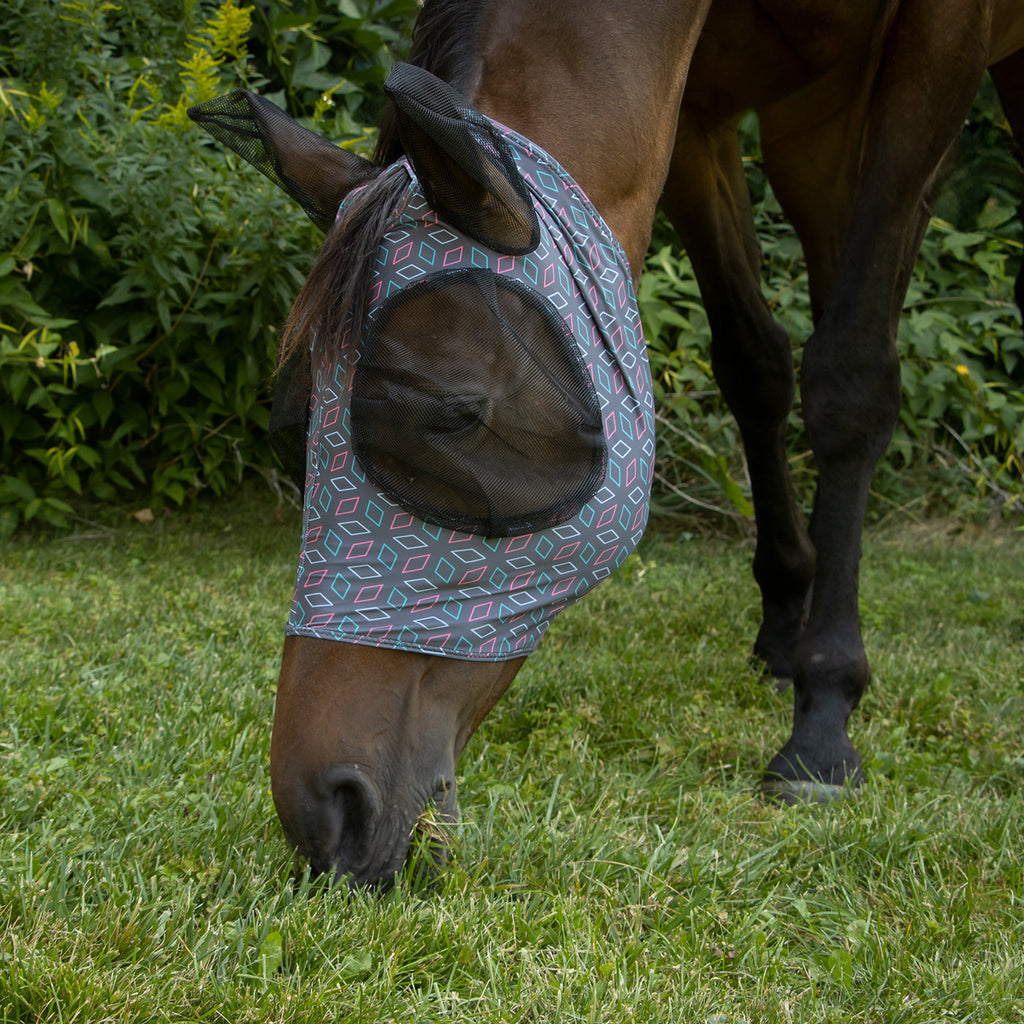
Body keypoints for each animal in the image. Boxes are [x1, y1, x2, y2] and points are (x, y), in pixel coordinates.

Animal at [189, 0, 1024, 888]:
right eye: (291, 430)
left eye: (450, 414)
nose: (323, 808)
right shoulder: (697, 112)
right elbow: (752, 363)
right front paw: (786, 621)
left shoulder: (935, 47)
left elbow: (850, 380)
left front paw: (823, 720)